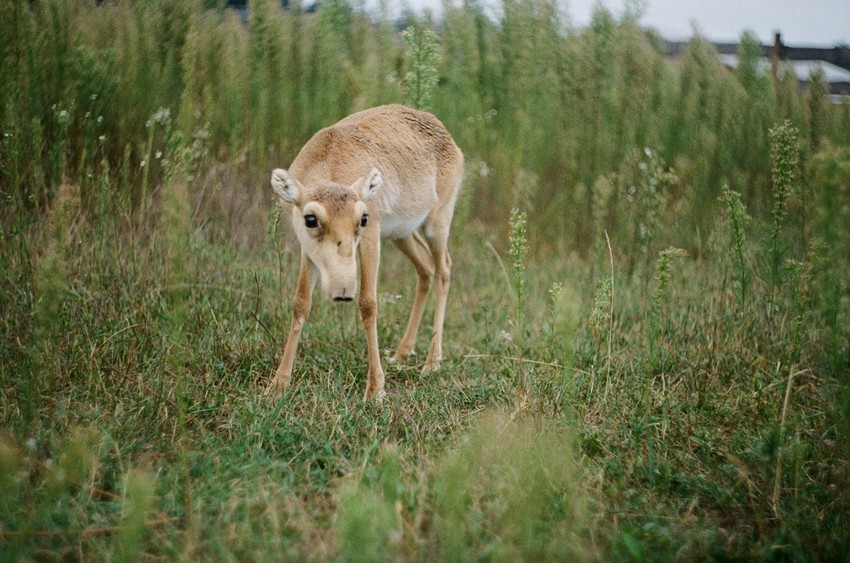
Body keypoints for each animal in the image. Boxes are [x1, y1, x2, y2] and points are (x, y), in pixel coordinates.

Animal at [267, 105, 464, 401]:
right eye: (310, 219)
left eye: (363, 218)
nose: (342, 291)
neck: (330, 160)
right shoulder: (307, 249)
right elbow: (300, 303)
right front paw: (278, 384)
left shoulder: (371, 237)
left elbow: (368, 303)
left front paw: (375, 389)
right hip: (401, 233)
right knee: (426, 268)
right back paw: (402, 352)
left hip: (437, 223)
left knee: (444, 270)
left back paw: (432, 362)